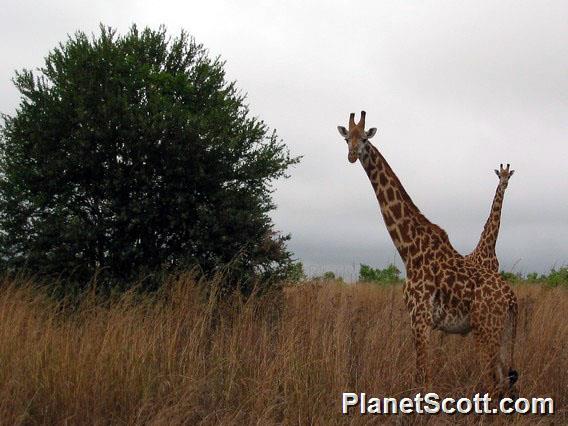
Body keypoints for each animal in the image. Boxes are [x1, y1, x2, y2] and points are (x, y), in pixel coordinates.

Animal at [338, 111, 520, 394]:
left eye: (365, 138)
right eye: (347, 138)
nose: (352, 154)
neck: (410, 249)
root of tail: (512, 299)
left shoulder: (420, 318)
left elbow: (423, 379)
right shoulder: (426, 323)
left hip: (486, 331)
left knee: (494, 384)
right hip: (503, 334)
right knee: (507, 383)